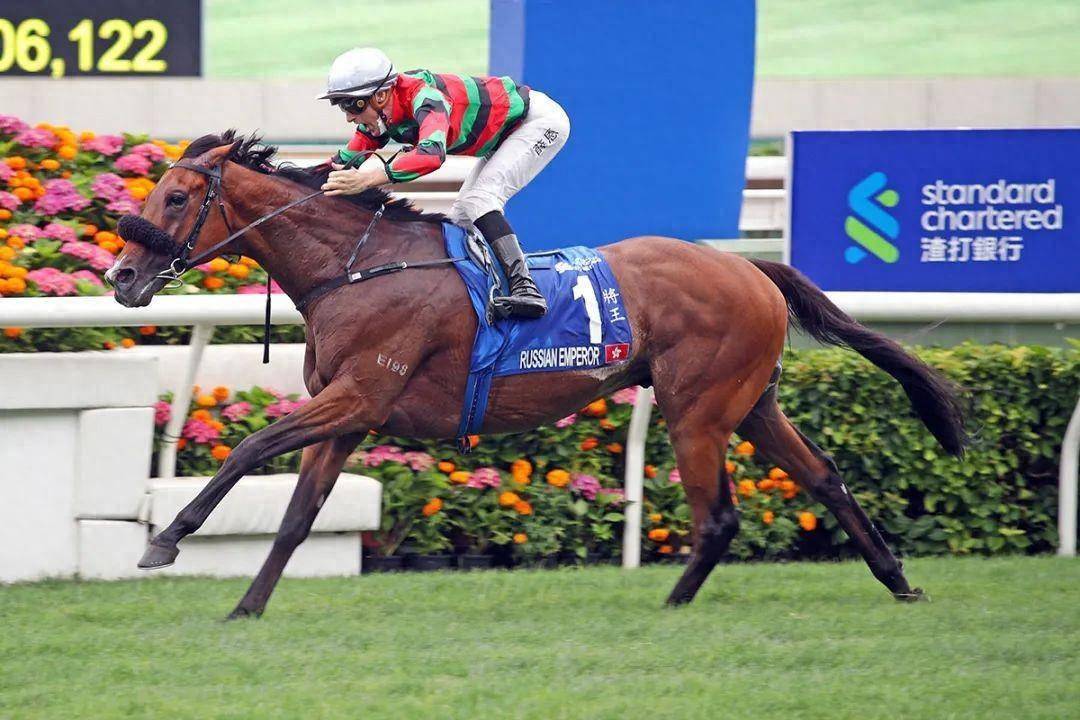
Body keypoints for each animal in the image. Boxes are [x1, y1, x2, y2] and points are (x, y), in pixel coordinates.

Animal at [105, 131, 967, 619]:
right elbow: (295, 518)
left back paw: (673, 603)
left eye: (176, 197)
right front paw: (247, 607)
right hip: (752, 402)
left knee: (720, 516)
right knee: (823, 476)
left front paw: (166, 542)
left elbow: (249, 450)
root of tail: (750, 266)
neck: (355, 268)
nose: (120, 277)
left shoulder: (359, 395)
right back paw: (897, 579)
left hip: (697, 409)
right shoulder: (350, 416)